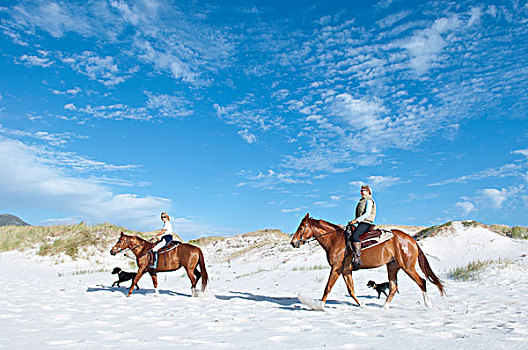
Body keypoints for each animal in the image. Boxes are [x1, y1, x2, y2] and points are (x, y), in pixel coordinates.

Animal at [290, 213, 444, 308]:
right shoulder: (345, 271)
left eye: (301, 227)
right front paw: (362, 304)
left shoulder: (336, 269)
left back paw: (428, 305)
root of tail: (411, 240)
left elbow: (328, 287)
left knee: (421, 281)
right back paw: (384, 308)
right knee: (393, 287)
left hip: (408, 267)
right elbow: (351, 290)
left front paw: (319, 306)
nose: (293, 242)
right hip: (392, 266)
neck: (335, 240)